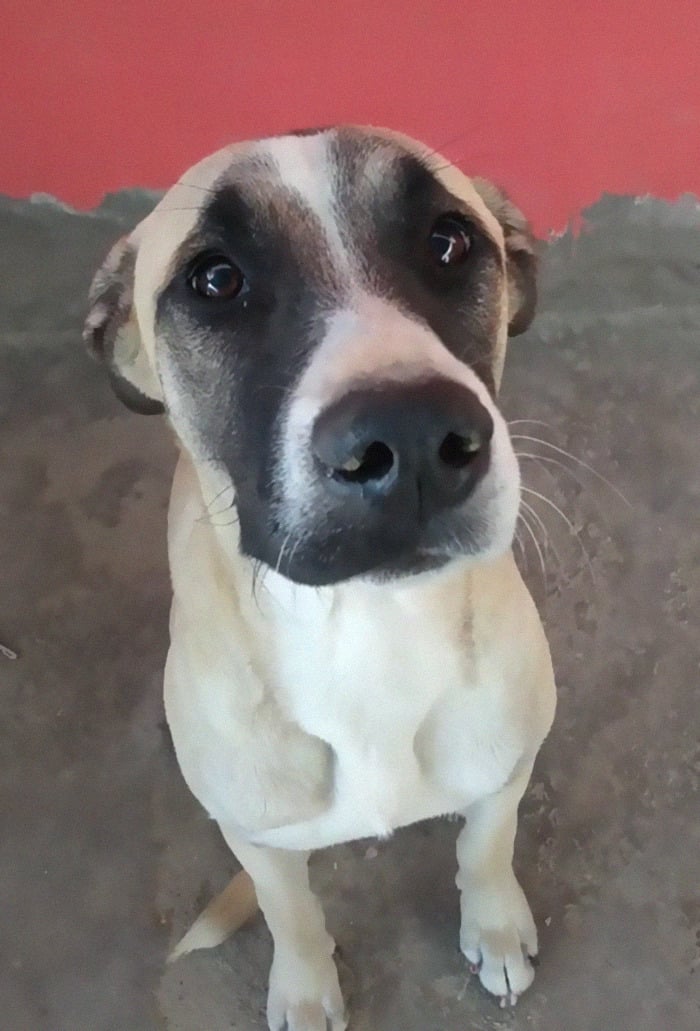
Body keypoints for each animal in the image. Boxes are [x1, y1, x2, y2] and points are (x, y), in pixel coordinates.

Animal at [85, 128, 556, 1031]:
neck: (369, 631)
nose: (412, 436)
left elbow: (487, 842)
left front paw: (494, 924)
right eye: (216, 279)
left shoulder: (507, 768)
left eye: (448, 240)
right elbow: (291, 911)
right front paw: (306, 988)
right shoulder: (259, 839)